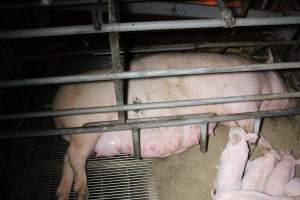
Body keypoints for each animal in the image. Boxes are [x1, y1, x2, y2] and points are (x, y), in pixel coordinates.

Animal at [52, 52, 296, 199]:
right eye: (284, 77)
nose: (295, 97)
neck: (264, 82)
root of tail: (55, 107)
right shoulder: (245, 104)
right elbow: (251, 129)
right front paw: (258, 148)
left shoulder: (231, 115)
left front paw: (268, 149)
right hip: (87, 127)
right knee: (75, 157)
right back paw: (82, 193)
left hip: (83, 136)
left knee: (66, 158)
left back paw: (62, 194)